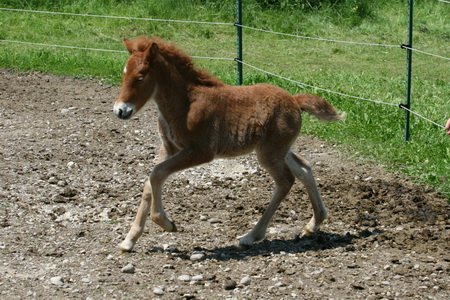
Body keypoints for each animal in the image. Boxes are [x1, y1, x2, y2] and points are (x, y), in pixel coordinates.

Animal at [113, 36, 344, 251]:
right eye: (124, 73)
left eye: (140, 76)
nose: (120, 110)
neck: (185, 104)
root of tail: (295, 101)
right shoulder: (169, 148)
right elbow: (149, 182)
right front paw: (129, 240)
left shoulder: (201, 151)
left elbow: (157, 174)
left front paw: (167, 224)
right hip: (279, 150)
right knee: (304, 168)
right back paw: (313, 224)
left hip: (269, 153)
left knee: (286, 181)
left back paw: (251, 236)